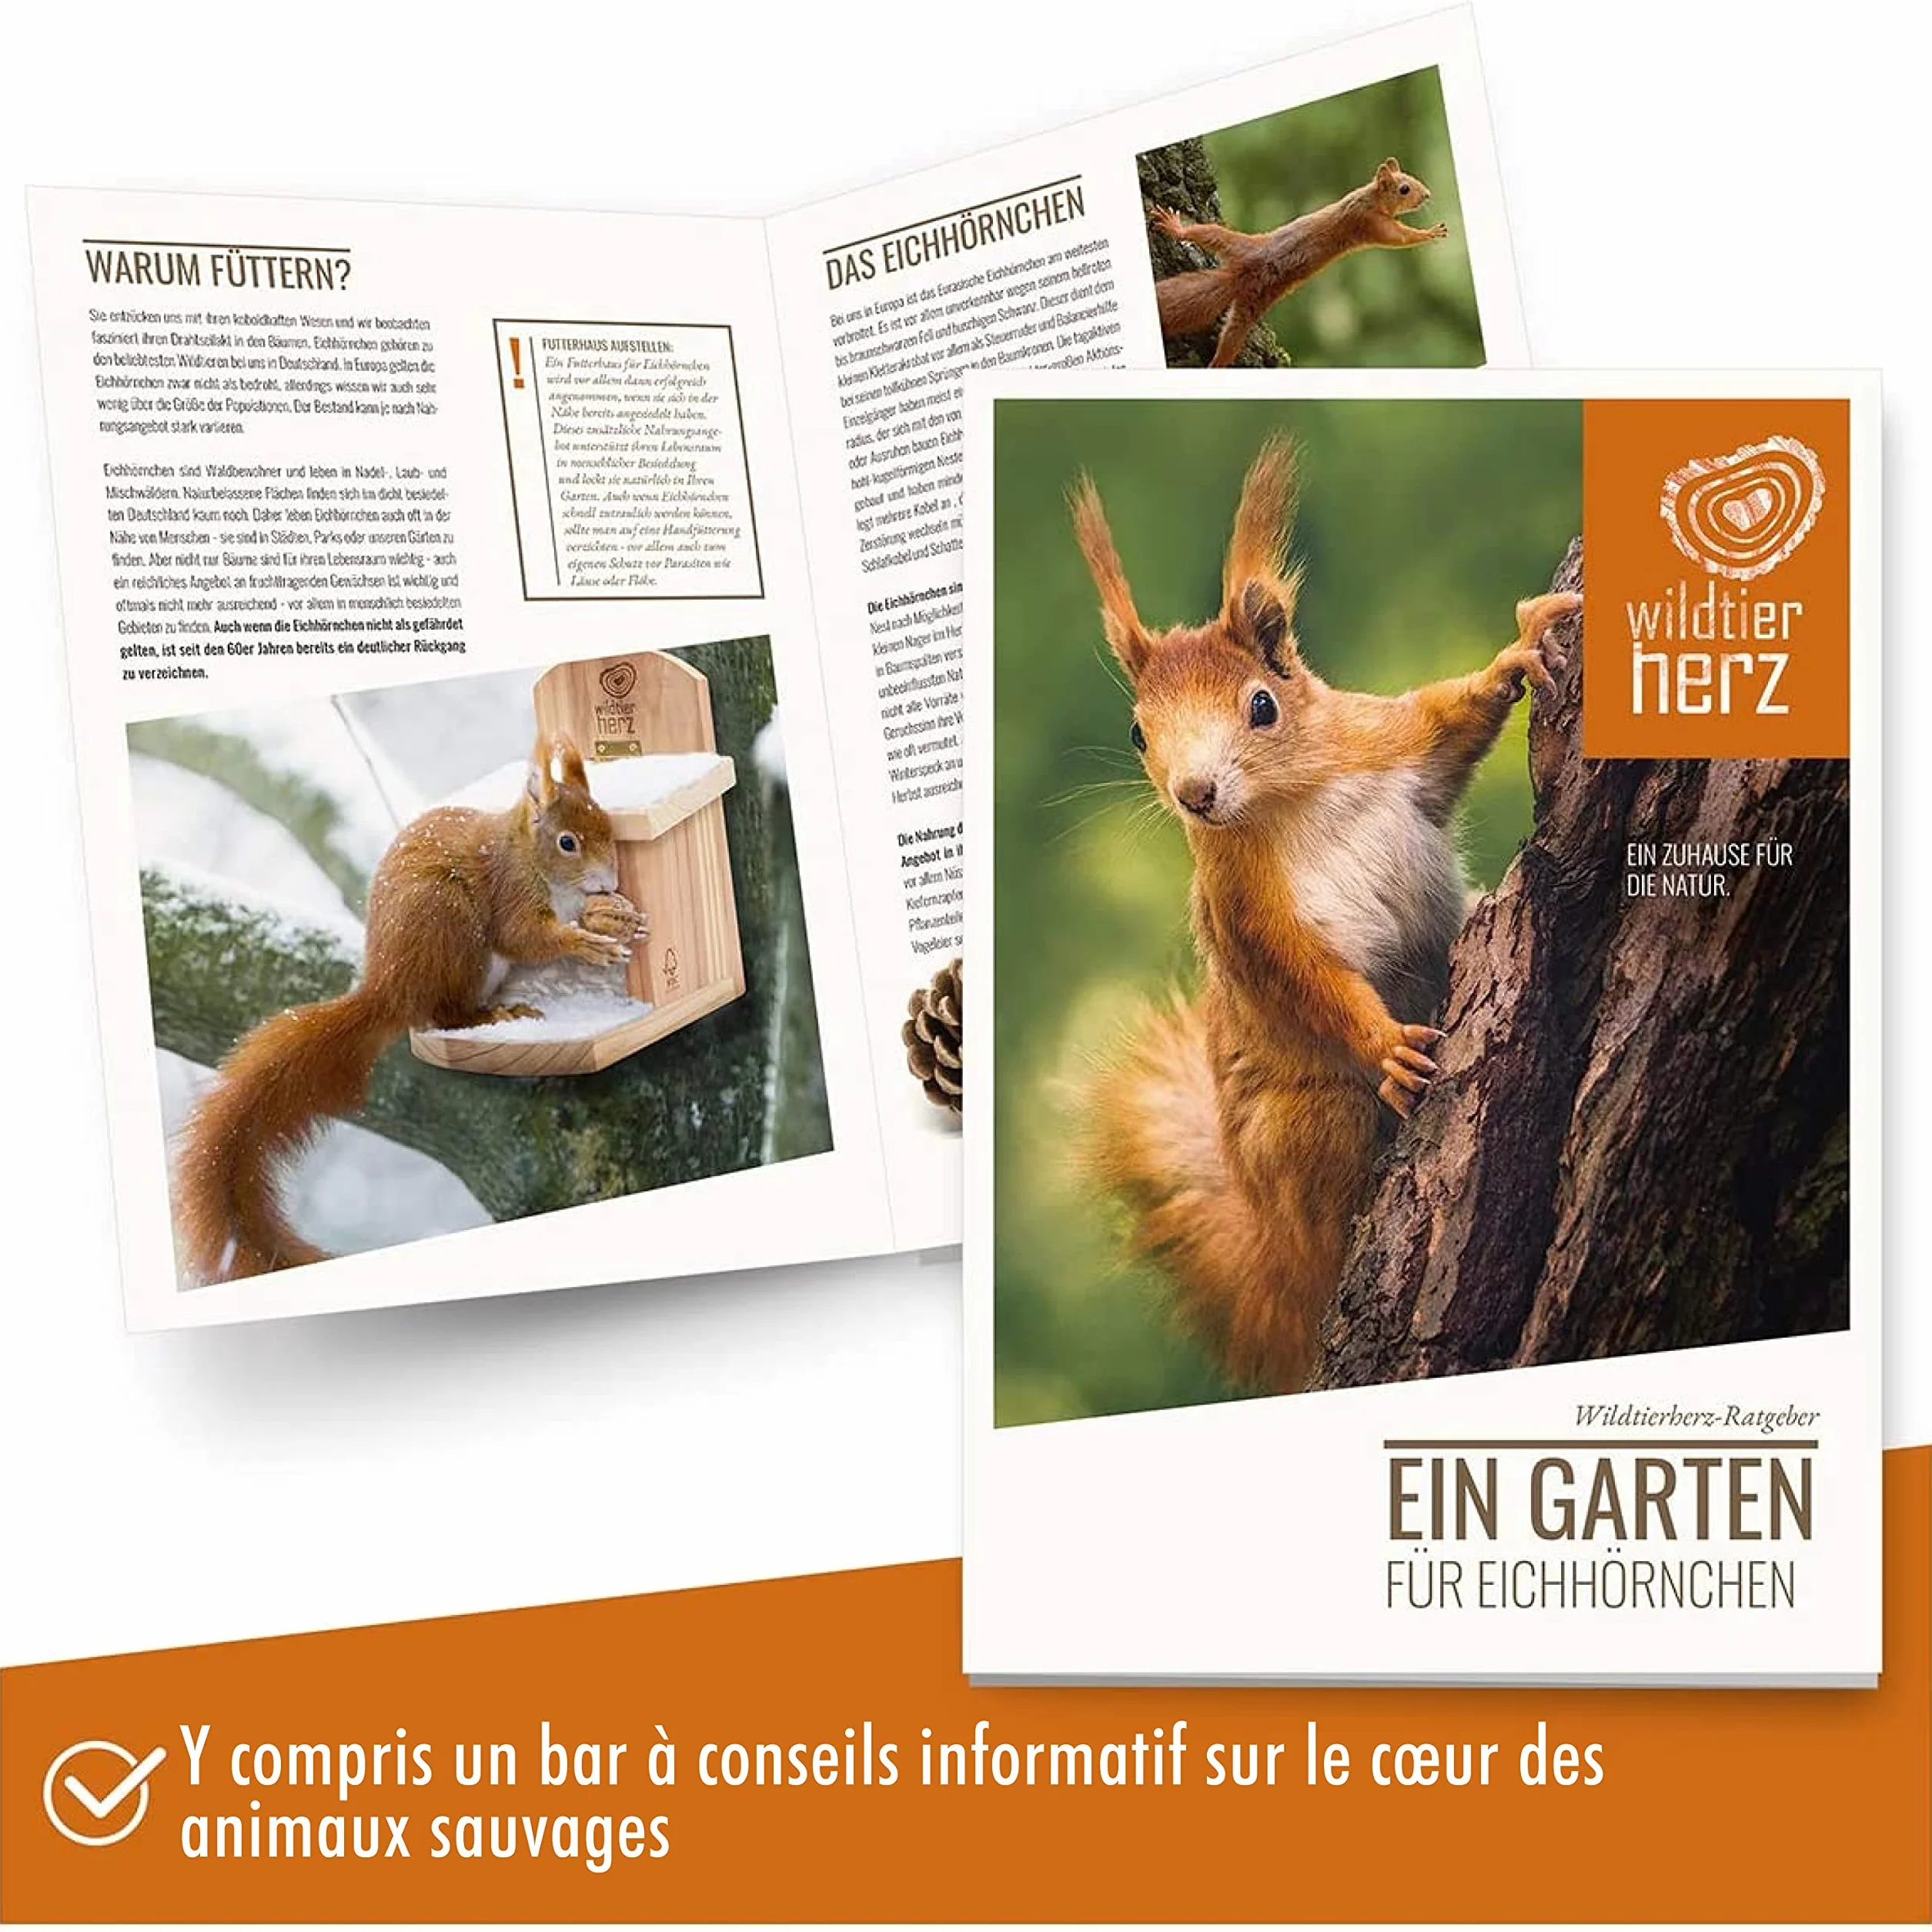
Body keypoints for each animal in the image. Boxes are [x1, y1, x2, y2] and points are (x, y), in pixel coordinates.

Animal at [174, 731, 648, 1282]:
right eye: (567, 842)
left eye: (607, 826)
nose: (609, 880)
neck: (532, 860)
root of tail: (389, 988)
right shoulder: (510, 891)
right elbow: (524, 937)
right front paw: (585, 941)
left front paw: (610, 918)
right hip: (451, 927)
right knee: (445, 1013)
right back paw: (492, 1015)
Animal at [1070, 438, 1579, 1392]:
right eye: (1137, 733)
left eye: (1261, 704)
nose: (1195, 794)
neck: (1290, 801)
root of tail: (1276, 1253)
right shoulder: (1245, 913)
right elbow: (1305, 981)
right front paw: (1383, 1044)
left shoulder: (1391, 741)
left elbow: (1452, 716)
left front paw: (1519, 651)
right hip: (1305, 1127)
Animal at [1149, 157, 1447, 367]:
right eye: (1404, 188)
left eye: (1412, 178)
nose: (1428, 195)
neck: (1369, 197)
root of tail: (1242, 274)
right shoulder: (1372, 223)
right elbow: (1400, 238)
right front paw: (1430, 233)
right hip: (1251, 279)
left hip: (1239, 257)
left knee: (1207, 236)